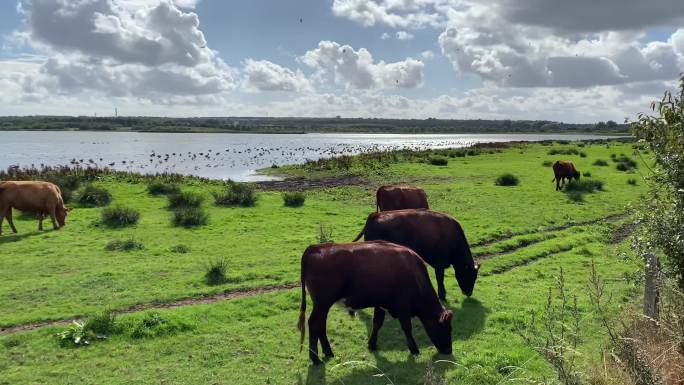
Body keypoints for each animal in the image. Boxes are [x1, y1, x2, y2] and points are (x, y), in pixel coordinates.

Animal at [296, 240, 452, 364]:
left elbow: (377, 323)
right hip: (322, 303)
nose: (449, 350)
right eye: (444, 327)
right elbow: (407, 327)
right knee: (314, 324)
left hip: (322, 305)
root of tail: (315, 248)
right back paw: (315, 358)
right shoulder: (402, 306)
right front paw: (414, 349)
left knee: (320, 325)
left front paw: (372, 344)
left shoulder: (381, 304)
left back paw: (328, 352)